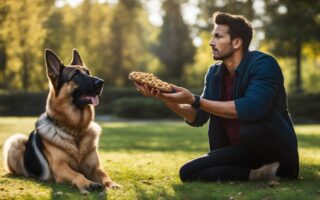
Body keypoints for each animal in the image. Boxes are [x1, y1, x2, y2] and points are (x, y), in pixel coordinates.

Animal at [2, 48, 121, 194]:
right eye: (75, 76)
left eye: (88, 72)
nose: (101, 82)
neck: (75, 129)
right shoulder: (60, 168)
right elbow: (78, 174)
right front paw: (88, 183)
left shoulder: (95, 168)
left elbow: (104, 174)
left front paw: (111, 183)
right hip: (16, 140)